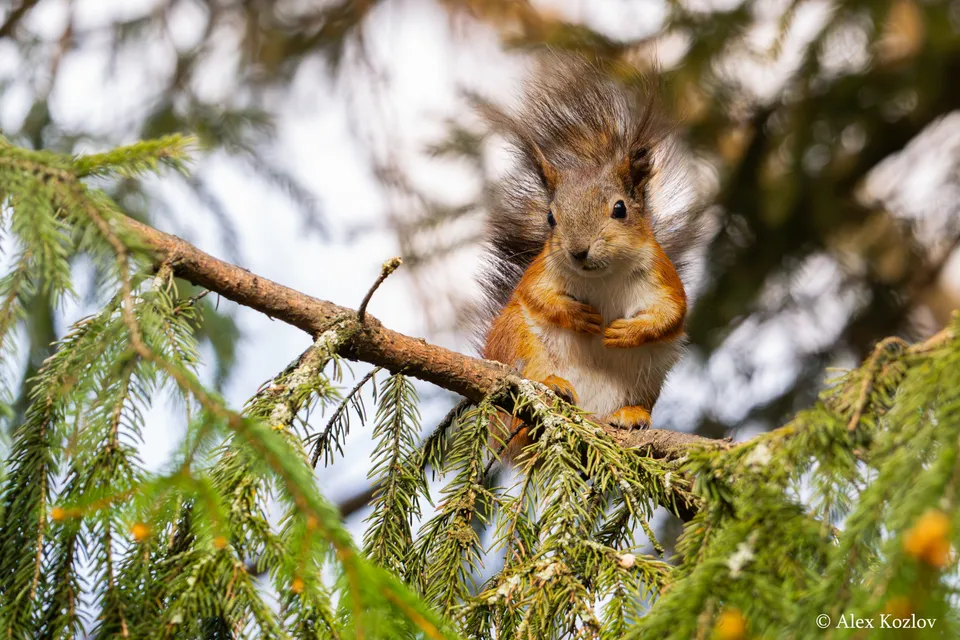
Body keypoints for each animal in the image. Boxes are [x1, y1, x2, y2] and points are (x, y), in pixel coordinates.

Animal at [475, 54, 700, 464]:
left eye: (620, 209)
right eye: (551, 218)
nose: (578, 251)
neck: (602, 277)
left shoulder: (662, 276)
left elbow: (671, 313)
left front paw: (626, 331)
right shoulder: (539, 272)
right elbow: (536, 296)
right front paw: (578, 315)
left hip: (650, 372)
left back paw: (631, 415)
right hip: (519, 341)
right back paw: (552, 386)